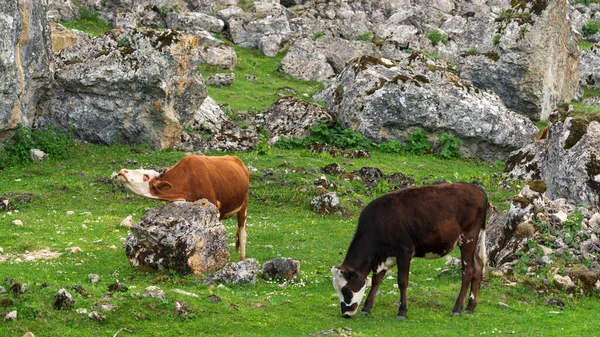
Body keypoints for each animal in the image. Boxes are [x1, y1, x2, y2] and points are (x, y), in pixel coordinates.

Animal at [332, 182, 488, 318]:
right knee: (478, 265)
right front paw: (366, 308)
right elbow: (376, 280)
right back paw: (470, 307)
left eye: (346, 290)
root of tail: (477, 189)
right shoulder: (386, 257)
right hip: (473, 240)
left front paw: (402, 312)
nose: (345, 313)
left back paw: (457, 309)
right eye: (337, 289)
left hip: (468, 237)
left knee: (468, 271)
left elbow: (402, 281)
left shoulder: (404, 250)